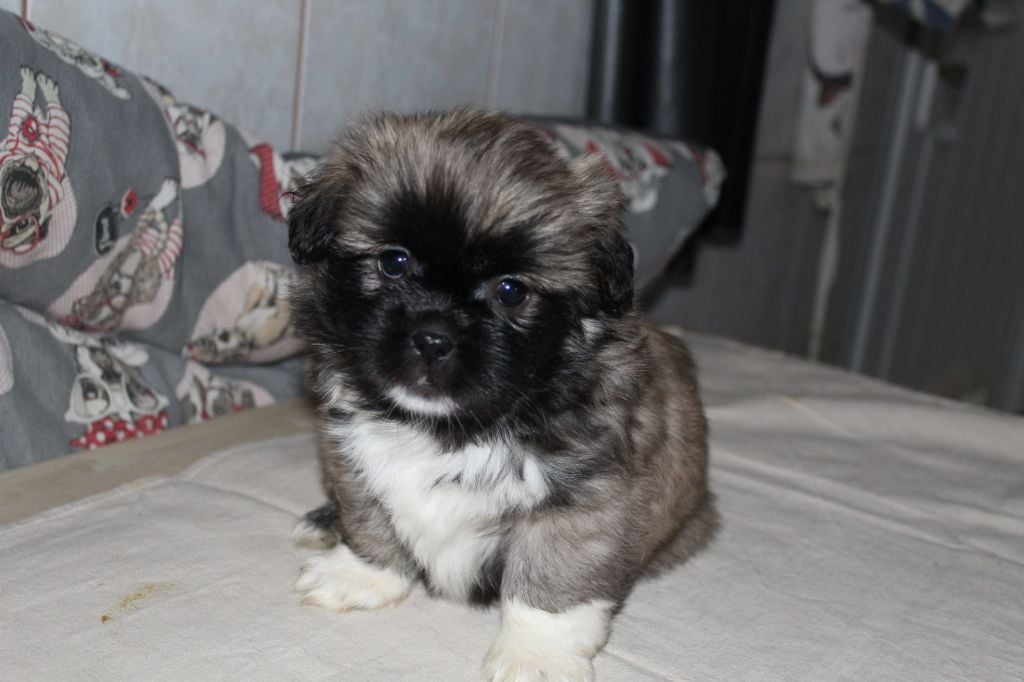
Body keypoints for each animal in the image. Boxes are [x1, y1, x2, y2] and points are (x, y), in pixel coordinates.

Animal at [287, 109, 715, 680]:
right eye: (393, 262)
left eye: (512, 292)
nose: (433, 336)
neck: (448, 428)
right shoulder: (350, 454)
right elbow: (371, 520)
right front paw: (363, 574)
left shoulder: (584, 501)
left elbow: (551, 577)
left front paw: (536, 653)